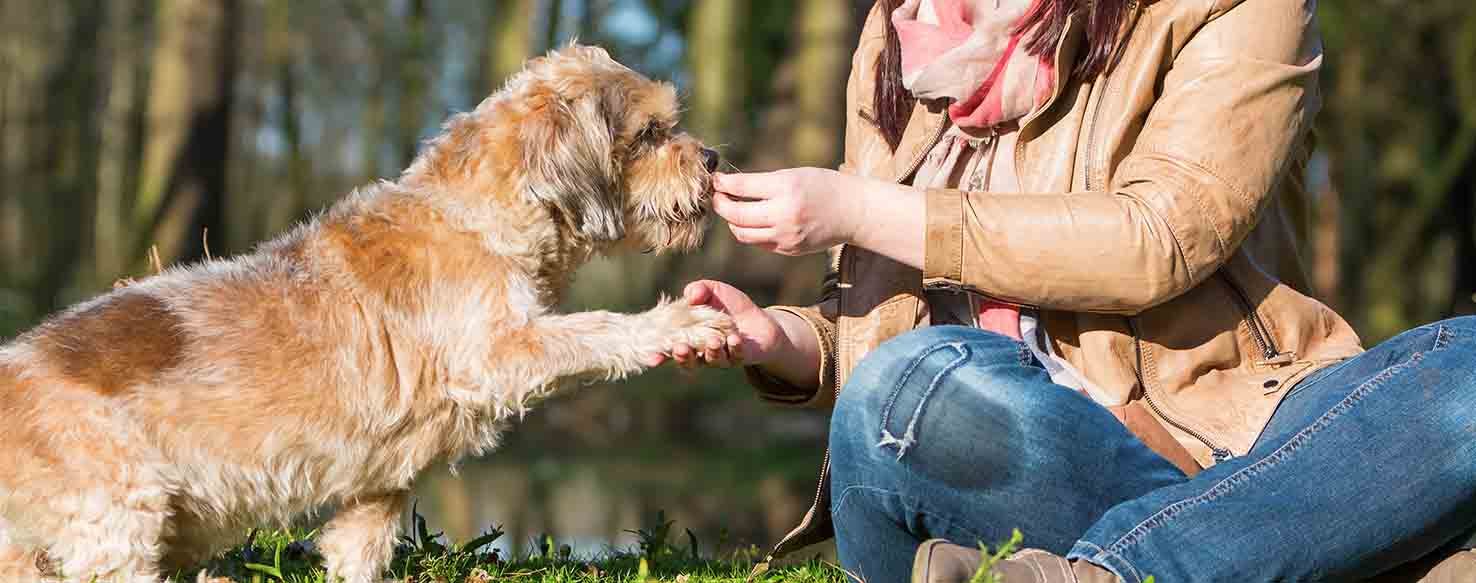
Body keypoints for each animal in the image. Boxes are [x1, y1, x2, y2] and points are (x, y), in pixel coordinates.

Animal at [0, 45, 735, 583]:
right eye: (650, 134)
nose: (712, 157)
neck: (477, 218)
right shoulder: (500, 353)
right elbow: (598, 330)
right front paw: (679, 323)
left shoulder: (379, 488)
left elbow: (358, 551)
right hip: (119, 526)